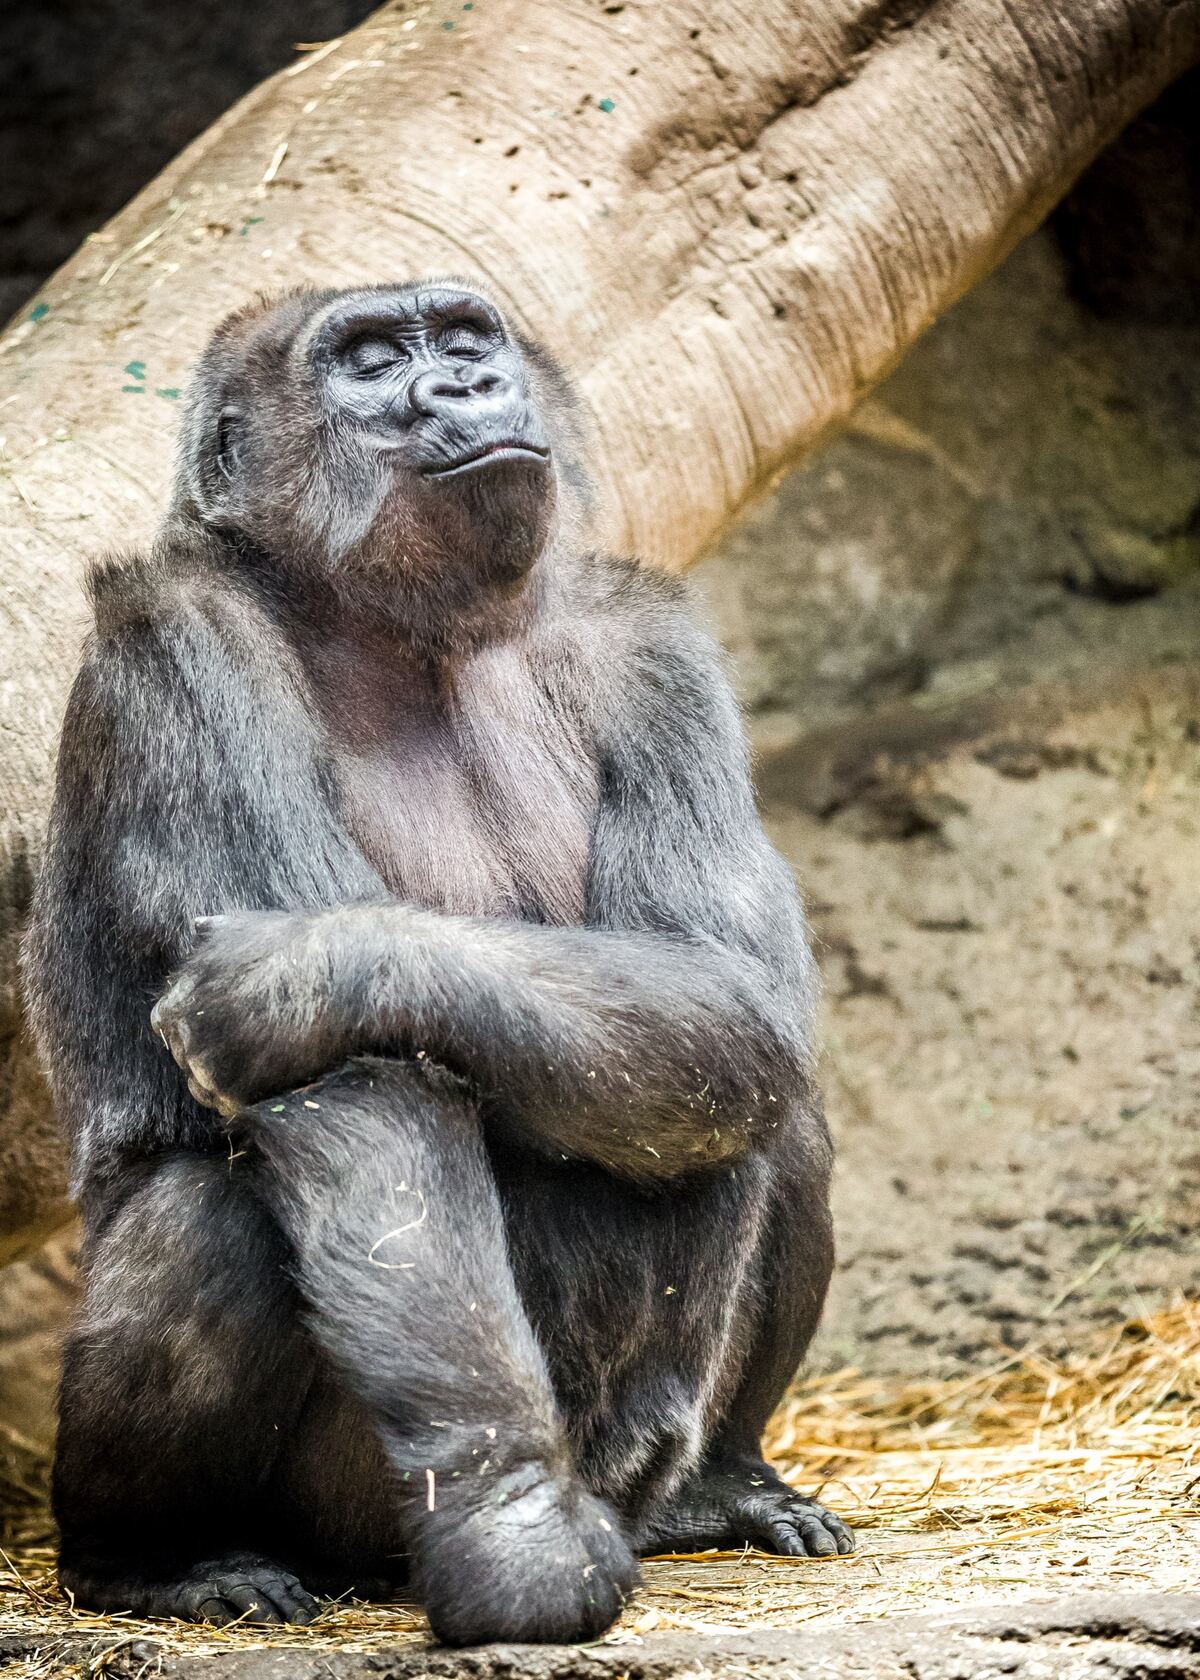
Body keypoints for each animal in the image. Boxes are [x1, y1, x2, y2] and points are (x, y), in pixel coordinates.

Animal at [22, 280, 852, 1647]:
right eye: (368, 362)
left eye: (466, 340)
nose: (463, 388)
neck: (398, 622)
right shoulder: (184, 651)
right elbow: (356, 1106)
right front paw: (514, 1528)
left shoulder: (652, 648)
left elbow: (724, 994)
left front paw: (311, 968)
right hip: (351, 1523)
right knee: (212, 1219)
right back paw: (155, 1558)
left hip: (634, 1470)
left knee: (765, 1106)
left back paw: (720, 1485)